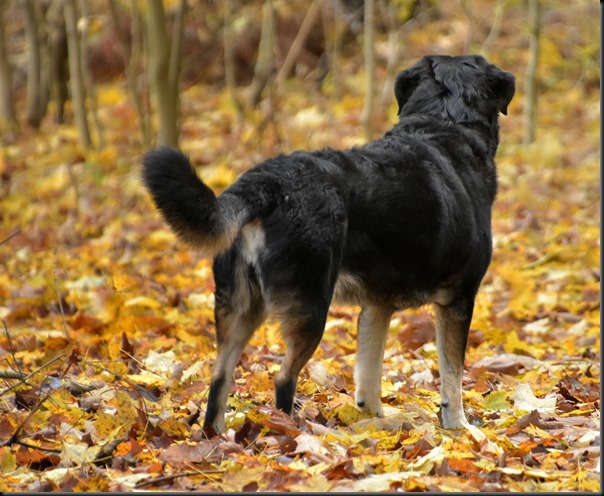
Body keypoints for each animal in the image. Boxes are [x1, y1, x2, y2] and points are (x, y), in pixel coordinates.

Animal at [143, 54, 515, 434]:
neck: (444, 124)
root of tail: (266, 182)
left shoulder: (377, 307)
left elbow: (369, 374)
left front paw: (373, 423)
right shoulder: (458, 300)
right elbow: (452, 376)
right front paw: (459, 427)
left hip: (240, 307)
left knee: (219, 379)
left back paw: (217, 437)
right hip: (310, 307)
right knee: (283, 379)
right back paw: (289, 434)